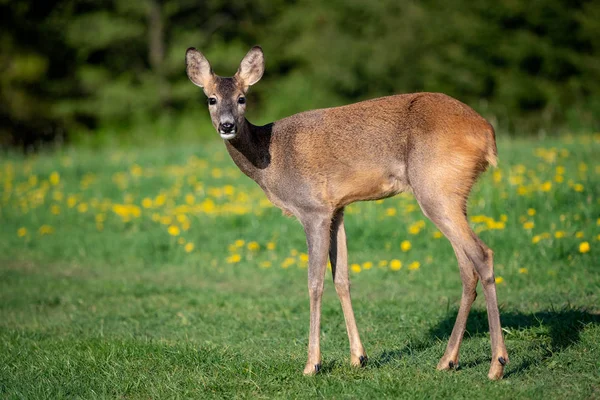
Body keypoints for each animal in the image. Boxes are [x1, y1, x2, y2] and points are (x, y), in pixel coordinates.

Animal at [185, 46, 508, 378]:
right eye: (211, 99)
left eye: (242, 98)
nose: (227, 125)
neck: (269, 156)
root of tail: (487, 134)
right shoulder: (337, 208)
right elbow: (342, 279)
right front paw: (358, 357)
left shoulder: (312, 209)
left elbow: (314, 282)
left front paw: (312, 364)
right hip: (452, 195)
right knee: (467, 267)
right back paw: (448, 360)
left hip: (436, 189)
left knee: (482, 255)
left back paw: (496, 364)